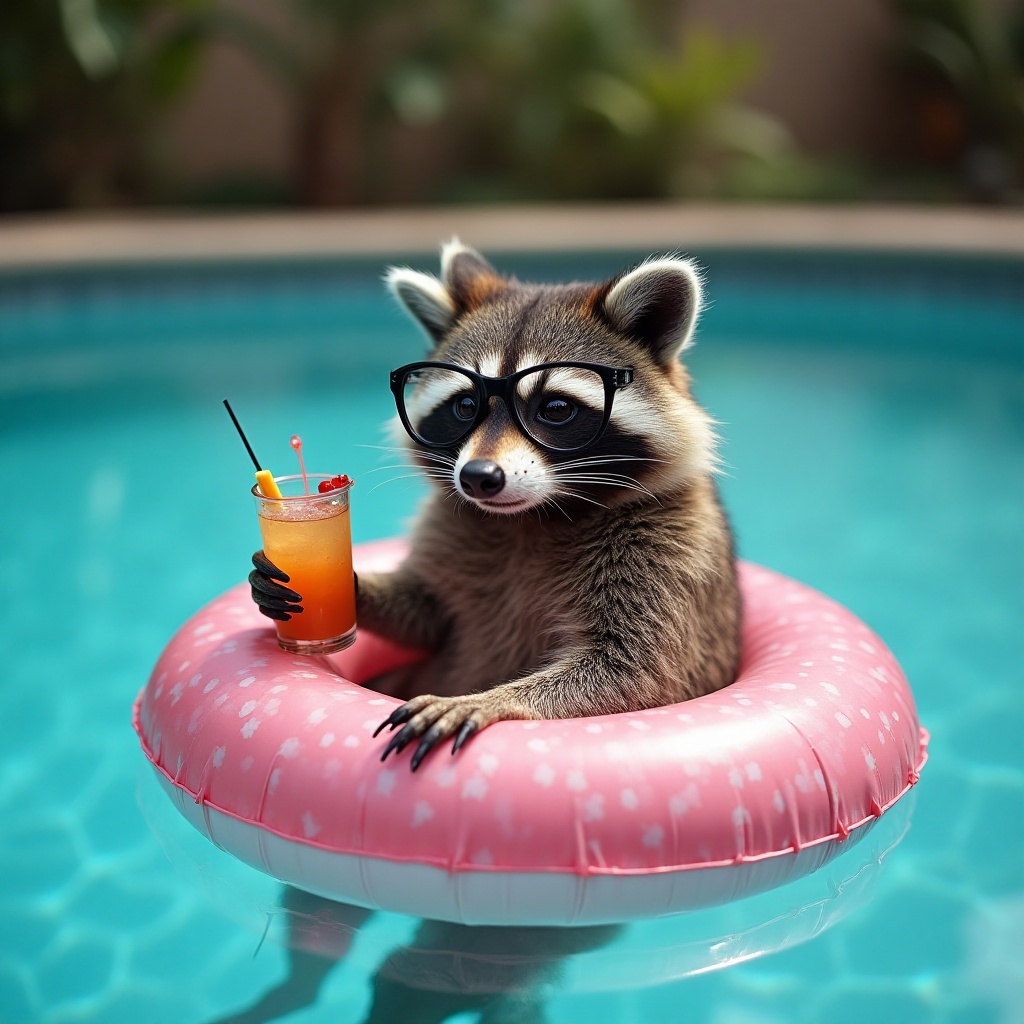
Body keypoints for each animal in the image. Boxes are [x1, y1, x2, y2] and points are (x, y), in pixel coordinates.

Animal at [251, 240, 741, 771]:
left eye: (556, 409)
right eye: (465, 405)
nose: (477, 478)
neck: (532, 515)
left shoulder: (670, 550)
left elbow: (636, 671)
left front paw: (490, 700)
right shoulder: (450, 529)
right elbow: (426, 615)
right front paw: (347, 586)